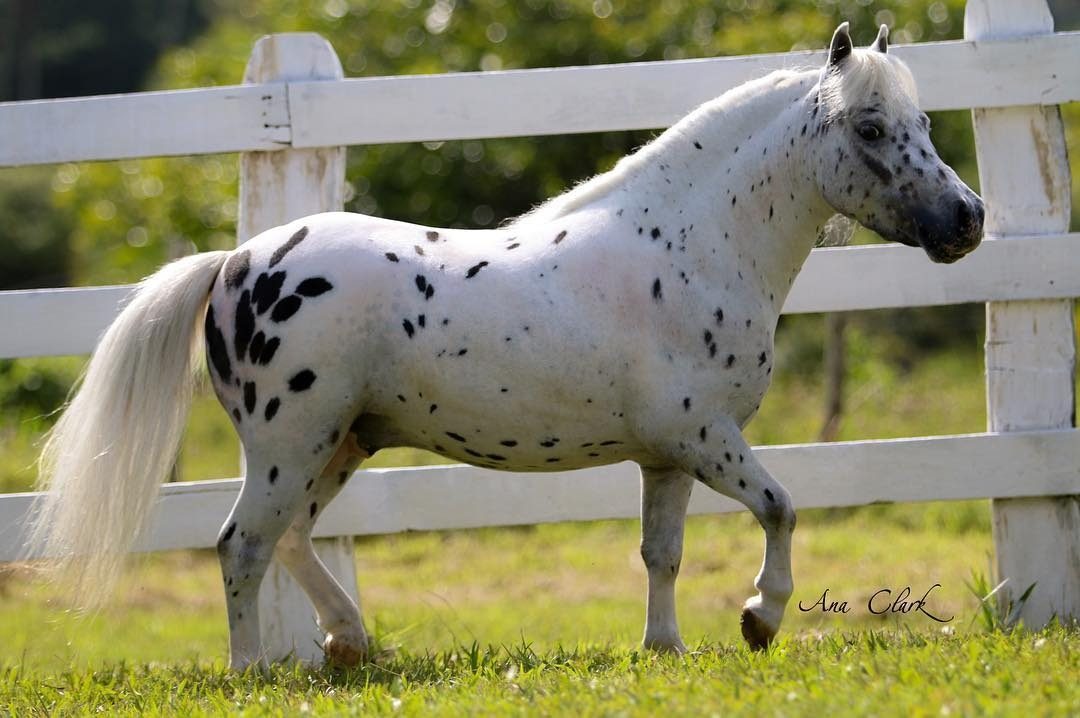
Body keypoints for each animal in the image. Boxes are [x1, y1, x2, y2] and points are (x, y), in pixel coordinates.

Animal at [27, 23, 989, 673]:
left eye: (922, 121)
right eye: (870, 127)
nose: (968, 221)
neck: (688, 248)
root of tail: (235, 263)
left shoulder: (666, 457)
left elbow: (663, 554)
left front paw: (666, 649)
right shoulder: (704, 436)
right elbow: (782, 507)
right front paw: (761, 619)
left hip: (339, 442)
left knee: (291, 540)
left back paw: (350, 642)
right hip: (288, 443)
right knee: (242, 547)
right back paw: (254, 669)